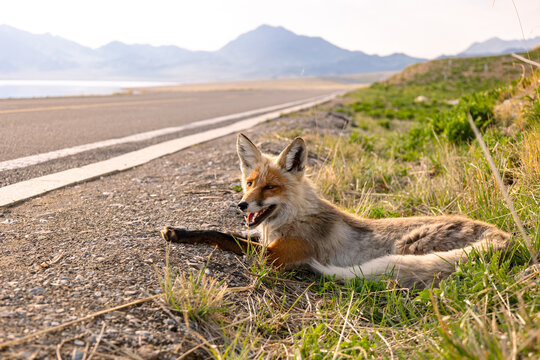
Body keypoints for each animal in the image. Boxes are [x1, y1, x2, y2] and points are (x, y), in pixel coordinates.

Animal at [161, 134, 510, 288]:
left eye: (270, 187)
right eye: (248, 183)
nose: (242, 204)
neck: (290, 220)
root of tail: (502, 235)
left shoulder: (275, 255)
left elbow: (231, 243)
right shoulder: (262, 240)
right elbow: (220, 233)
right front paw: (179, 232)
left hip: (411, 247)